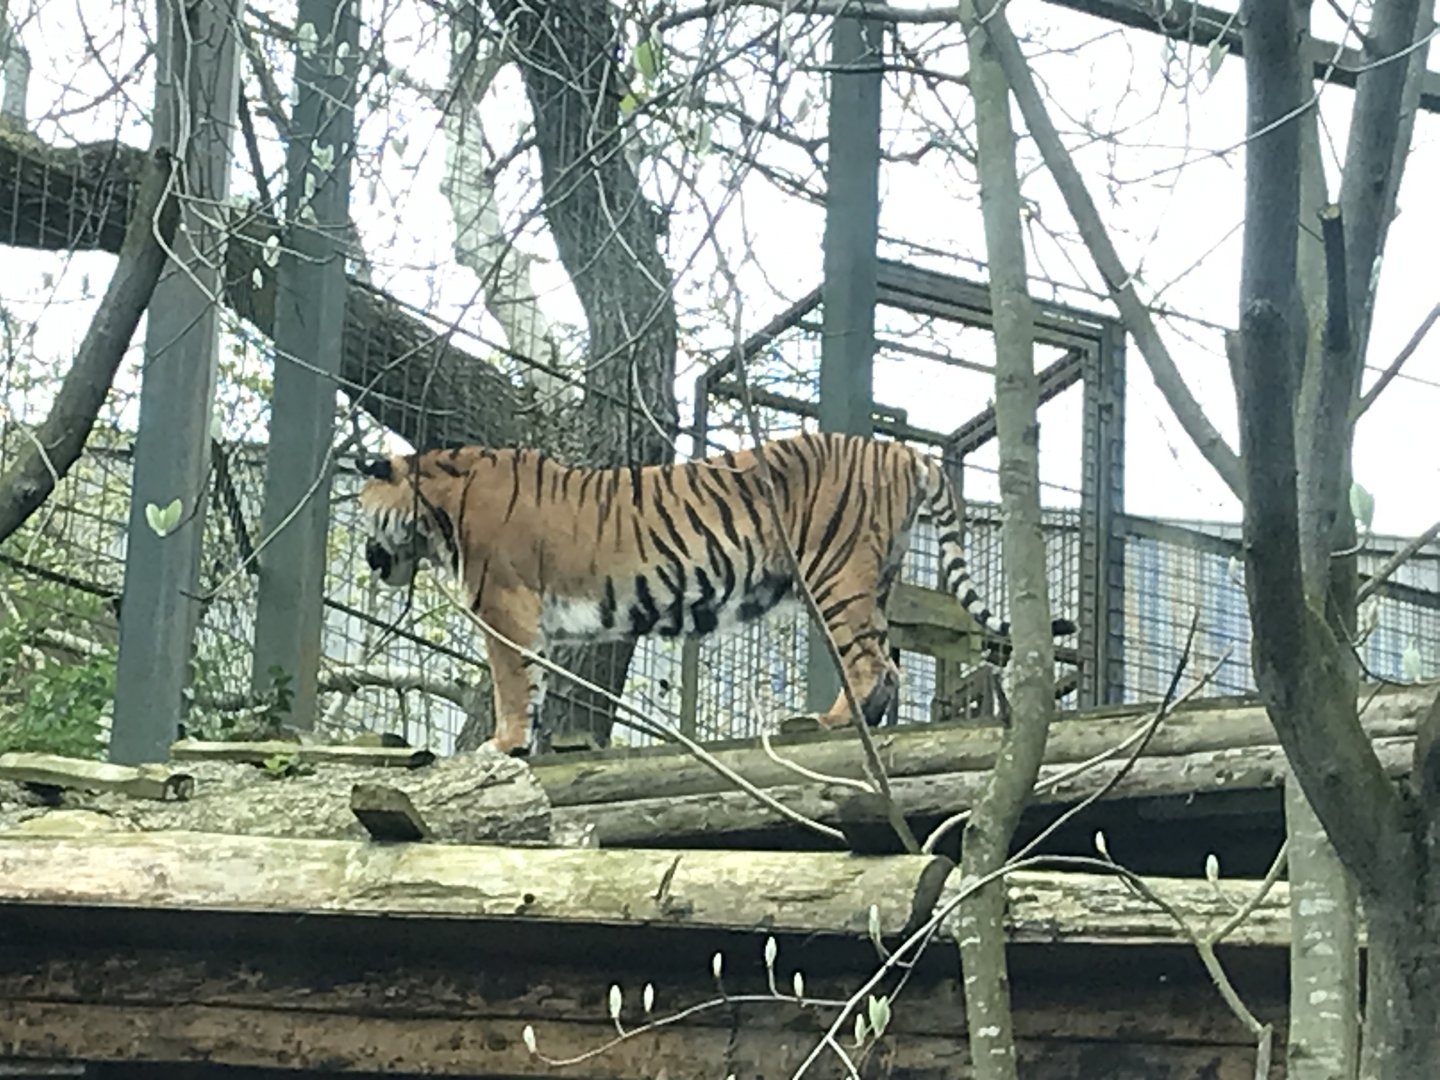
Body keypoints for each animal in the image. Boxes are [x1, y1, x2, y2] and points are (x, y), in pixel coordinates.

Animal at [357, 431, 1077, 757]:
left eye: (362, 508)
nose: (367, 559)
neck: (437, 509)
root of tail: (903, 450)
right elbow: (535, 688)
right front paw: (524, 744)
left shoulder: (506, 607)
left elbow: (511, 684)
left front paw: (501, 746)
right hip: (874, 580)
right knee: (886, 663)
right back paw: (847, 724)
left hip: (834, 575)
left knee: (872, 662)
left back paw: (826, 724)